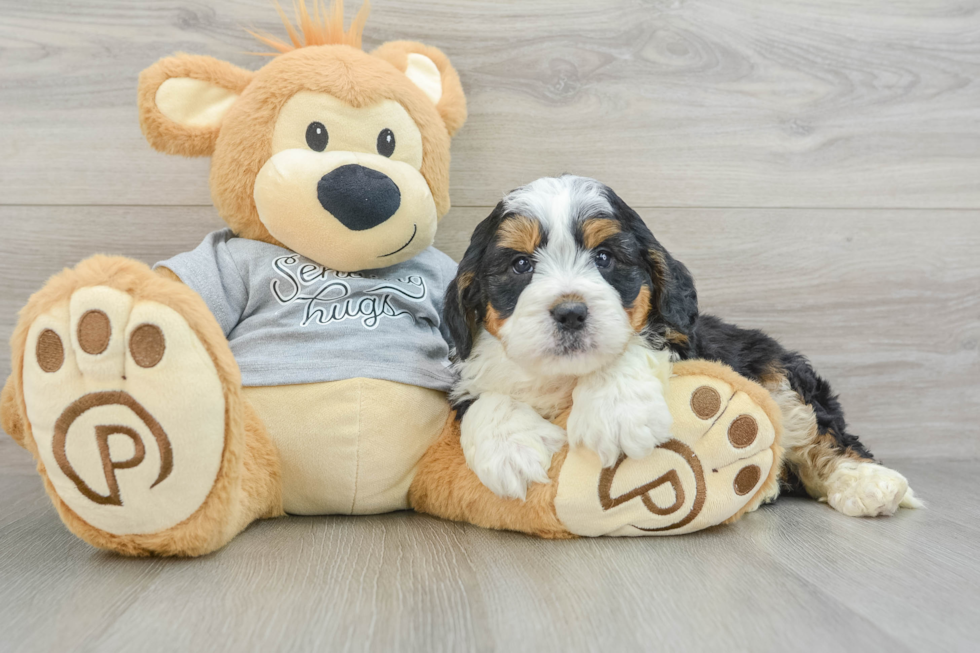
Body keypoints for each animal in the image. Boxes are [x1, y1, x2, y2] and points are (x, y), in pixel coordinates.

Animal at [448, 174, 924, 516]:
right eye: (520, 265)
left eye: (604, 258)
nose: (570, 312)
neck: (566, 376)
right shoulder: (467, 371)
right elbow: (482, 399)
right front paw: (512, 451)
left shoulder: (681, 341)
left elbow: (637, 343)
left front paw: (615, 415)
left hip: (781, 375)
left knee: (823, 437)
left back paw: (868, 484)